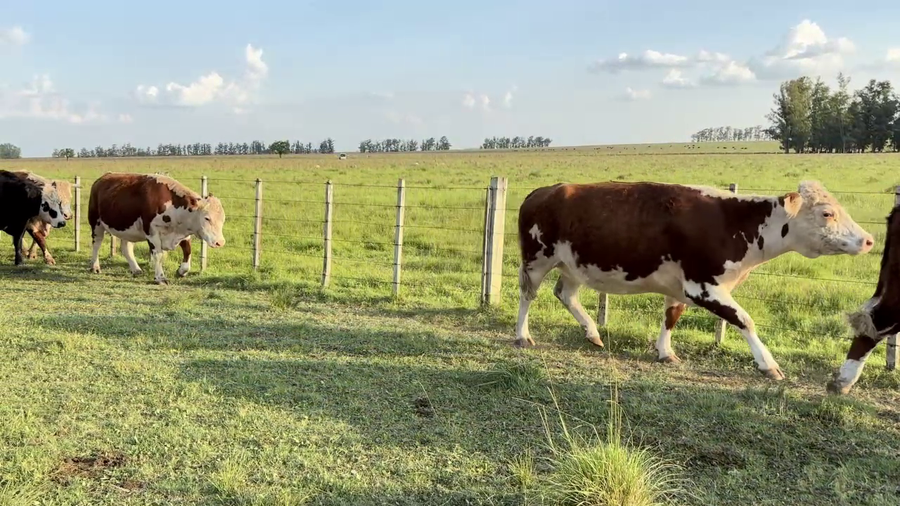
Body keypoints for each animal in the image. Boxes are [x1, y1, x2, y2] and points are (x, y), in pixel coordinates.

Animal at [87, 172, 226, 284]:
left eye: (223, 219)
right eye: (207, 218)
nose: (220, 242)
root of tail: (102, 178)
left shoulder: (183, 233)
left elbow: (187, 252)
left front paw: (181, 271)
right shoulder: (152, 232)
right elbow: (158, 255)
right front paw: (160, 278)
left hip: (128, 228)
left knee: (126, 247)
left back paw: (136, 269)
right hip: (96, 224)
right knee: (96, 244)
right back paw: (95, 266)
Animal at [515, 180, 874, 381]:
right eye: (827, 213)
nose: (869, 240)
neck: (735, 223)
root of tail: (543, 191)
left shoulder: (680, 287)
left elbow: (671, 316)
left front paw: (665, 352)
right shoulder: (702, 286)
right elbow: (744, 319)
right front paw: (768, 365)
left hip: (573, 265)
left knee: (566, 294)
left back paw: (592, 332)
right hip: (537, 259)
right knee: (527, 295)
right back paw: (522, 335)